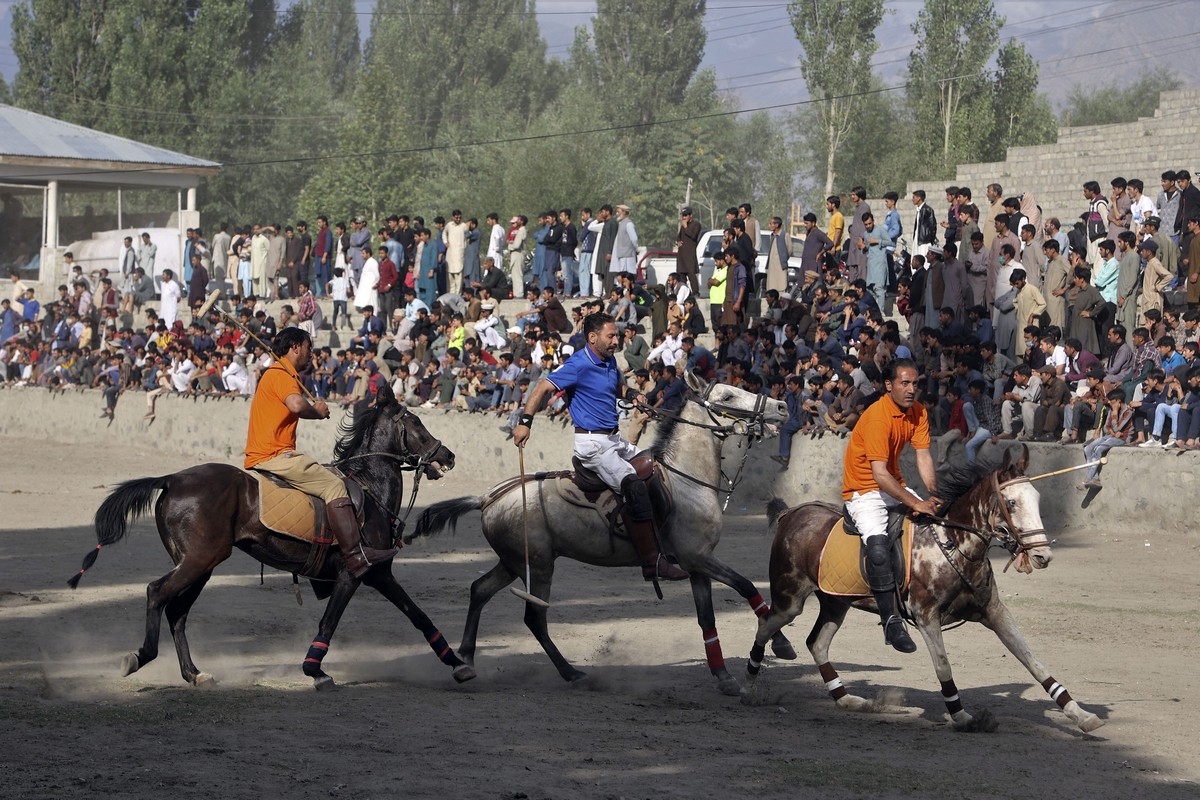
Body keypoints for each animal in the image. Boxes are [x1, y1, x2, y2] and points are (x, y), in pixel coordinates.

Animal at [66, 383, 477, 690]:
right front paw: (314, 669)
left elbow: (419, 616)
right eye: (416, 422)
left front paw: (458, 664)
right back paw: (141, 656)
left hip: (201, 563)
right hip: (200, 559)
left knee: (177, 612)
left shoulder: (379, 573)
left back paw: (194, 674)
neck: (369, 486)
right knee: (157, 593)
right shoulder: (353, 571)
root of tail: (171, 479)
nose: (448, 456)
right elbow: (329, 622)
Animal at [410, 376, 796, 695]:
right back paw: (572, 673)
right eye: (728, 395)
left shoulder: (696, 564)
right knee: (534, 618)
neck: (687, 478)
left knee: (479, 590)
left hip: (514, 561)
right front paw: (780, 643)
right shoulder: (698, 558)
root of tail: (487, 498)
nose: (781, 406)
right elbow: (746, 585)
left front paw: (724, 676)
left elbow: (708, 619)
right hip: (538, 564)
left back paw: (466, 659)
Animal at [748, 448, 1104, 734]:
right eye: (1012, 502)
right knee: (766, 624)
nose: (1043, 556)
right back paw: (749, 684)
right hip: (790, 599)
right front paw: (962, 716)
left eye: (1037, 499)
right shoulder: (926, 616)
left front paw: (1081, 715)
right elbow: (944, 665)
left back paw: (848, 700)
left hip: (837, 602)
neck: (954, 545)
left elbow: (1034, 661)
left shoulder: (993, 611)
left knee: (817, 643)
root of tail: (791, 513)